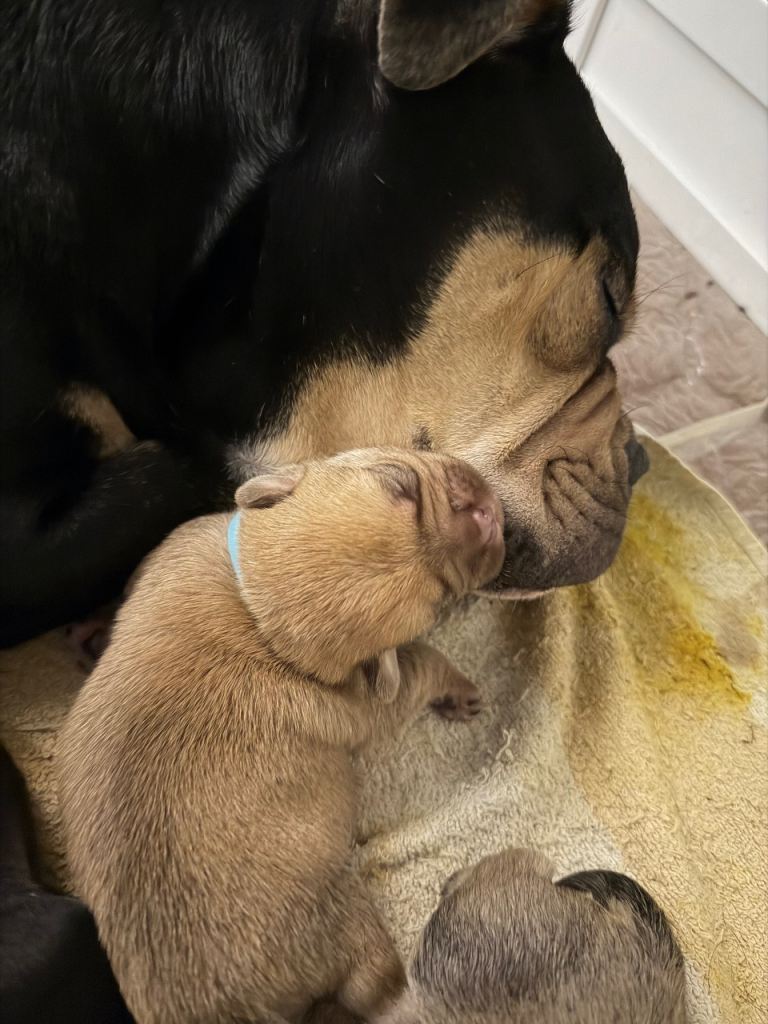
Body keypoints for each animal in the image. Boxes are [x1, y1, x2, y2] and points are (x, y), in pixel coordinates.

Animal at [56, 449, 506, 1023]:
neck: (264, 619)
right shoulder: (378, 706)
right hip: (350, 924)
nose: (487, 515)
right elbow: (423, 663)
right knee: (380, 990)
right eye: (399, 485)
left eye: (440, 595)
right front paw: (457, 687)